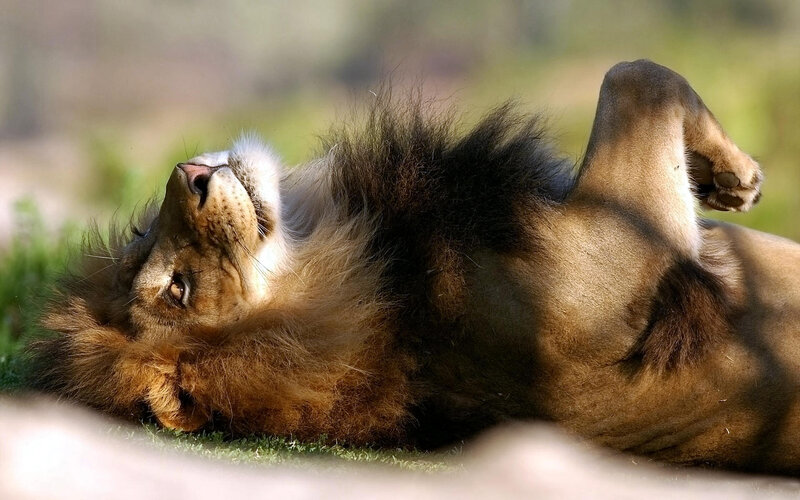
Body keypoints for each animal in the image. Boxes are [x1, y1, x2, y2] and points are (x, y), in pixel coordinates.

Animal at [27, 60, 800, 474]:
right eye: (177, 291)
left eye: (141, 238)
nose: (188, 172)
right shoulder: (631, 246)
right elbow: (638, 78)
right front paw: (736, 175)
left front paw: (725, 181)